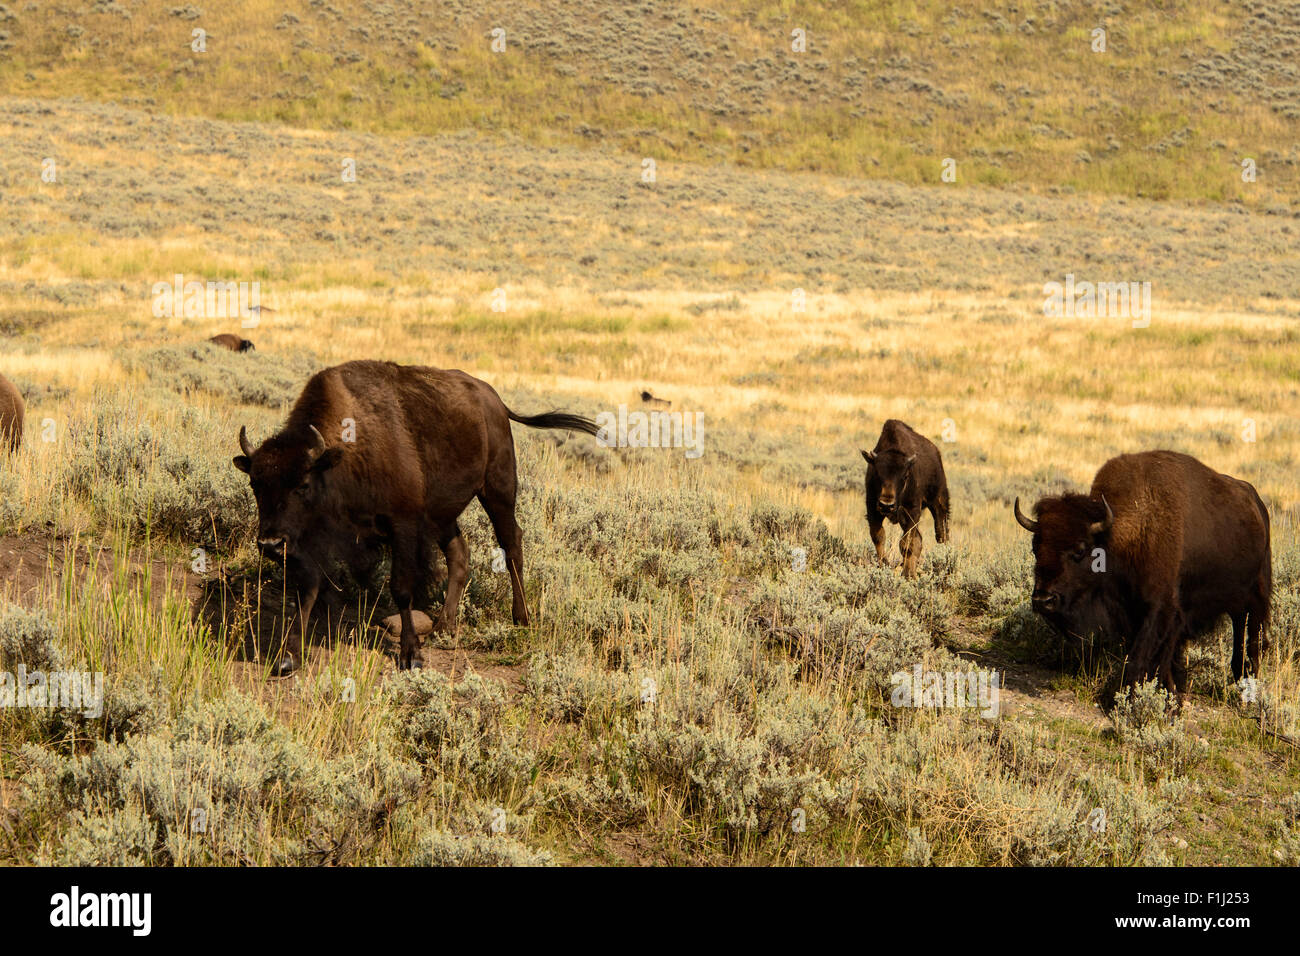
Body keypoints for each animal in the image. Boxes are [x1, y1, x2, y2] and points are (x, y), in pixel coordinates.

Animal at [233, 361, 598, 681]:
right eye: (255, 484)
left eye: (302, 485)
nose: (270, 544)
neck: (339, 458)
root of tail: (494, 400)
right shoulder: (313, 539)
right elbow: (306, 591)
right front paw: (288, 658)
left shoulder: (403, 525)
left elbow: (402, 587)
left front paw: (411, 656)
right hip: (443, 514)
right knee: (459, 554)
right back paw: (443, 627)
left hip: (498, 488)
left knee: (512, 544)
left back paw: (521, 619)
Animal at [857, 421, 951, 582]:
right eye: (876, 473)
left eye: (905, 476)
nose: (886, 505)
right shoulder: (873, 511)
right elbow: (879, 537)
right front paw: (885, 566)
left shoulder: (912, 512)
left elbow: (906, 544)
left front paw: (906, 574)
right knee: (920, 539)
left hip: (938, 502)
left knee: (941, 534)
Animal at [1013, 452, 1268, 697]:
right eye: (1035, 548)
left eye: (1080, 550)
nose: (1043, 600)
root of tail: (1256, 503)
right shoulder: (1131, 611)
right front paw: (1169, 693)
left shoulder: (1161, 611)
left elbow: (1142, 656)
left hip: (1255, 596)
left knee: (1250, 635)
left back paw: (1248, 683)